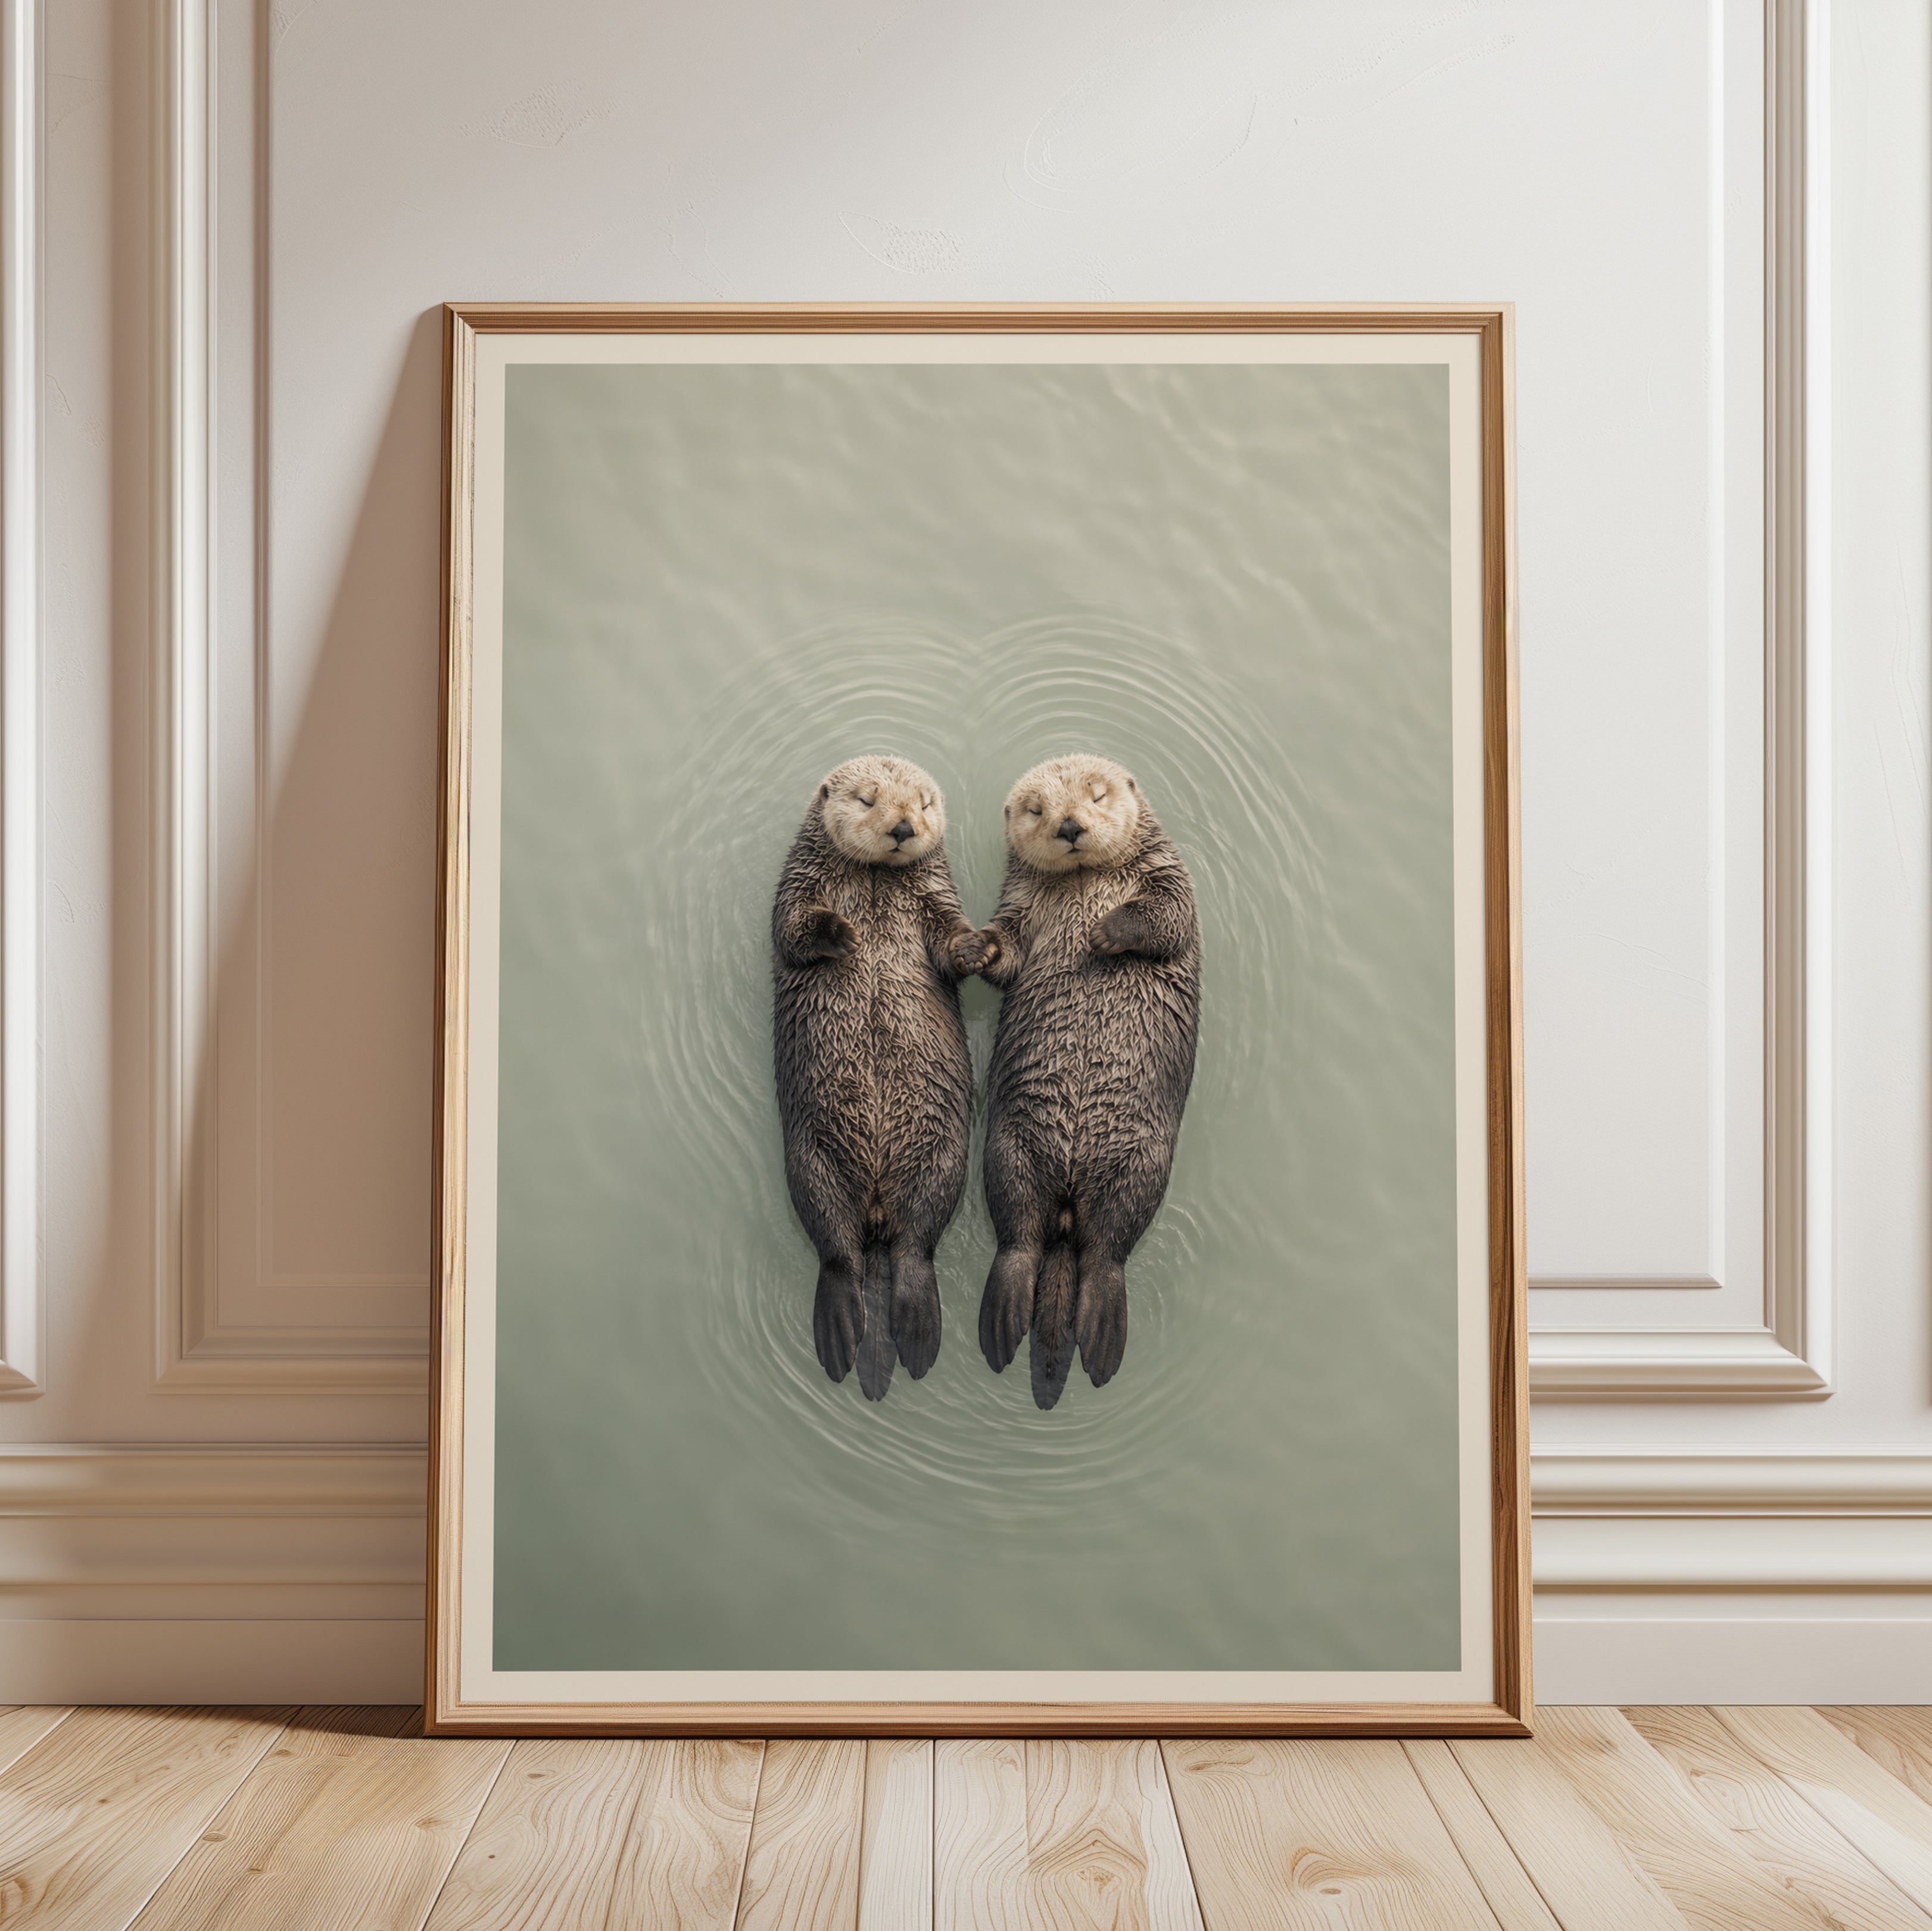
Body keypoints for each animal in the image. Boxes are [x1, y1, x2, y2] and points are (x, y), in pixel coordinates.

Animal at [772, 754, 980, 1400]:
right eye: (867, 800)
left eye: (924, 804)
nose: (903, 827)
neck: (872, 882)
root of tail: (877, 1216)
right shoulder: (797, 889)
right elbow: (794, 929)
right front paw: (842, 933)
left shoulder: (938, 901)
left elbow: (950, 941)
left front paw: (981, 948)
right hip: (810, 1162)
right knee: (837, 1252)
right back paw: (846, 1337)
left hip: (944, 1158)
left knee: (914, 1245)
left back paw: (908, 1335)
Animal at [958, 754, 1200, 1409]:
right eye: (1037, 808)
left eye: (1096, 795)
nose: (1069, 825)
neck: (1086, 885)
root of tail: (1067, 1210)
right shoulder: (1018, 907)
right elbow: (1008, 951)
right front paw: (976, 946)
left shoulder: (1169, 879)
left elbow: (1167, 917)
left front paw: (1106, 932)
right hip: (1008, 1148)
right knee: (1020, 1235)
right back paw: (1005, 1322)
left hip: (1141, 1165)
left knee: (1107, 1250)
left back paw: (1095, 1337)